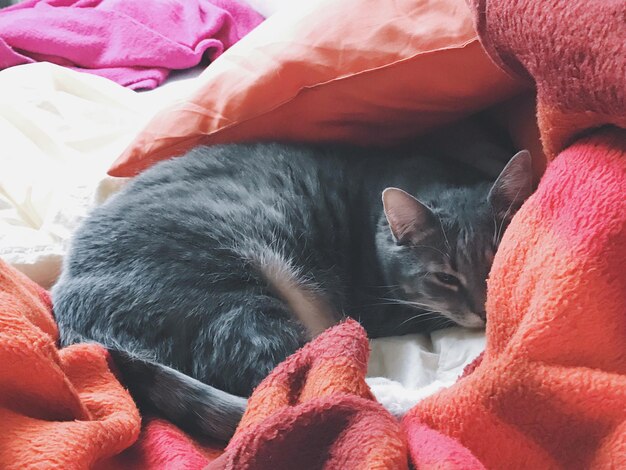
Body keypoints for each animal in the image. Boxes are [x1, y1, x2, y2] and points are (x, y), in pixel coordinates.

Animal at [54, 142, 532, 440]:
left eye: (496, 261)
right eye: (445, 277)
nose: (482, 311)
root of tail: (85, 335)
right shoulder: (386, 308)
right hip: (234, 295)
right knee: (302, 381)